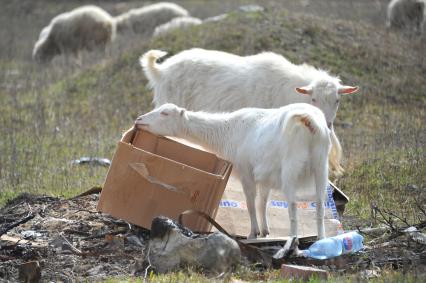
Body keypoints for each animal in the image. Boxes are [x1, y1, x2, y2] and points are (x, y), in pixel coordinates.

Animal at [135, 102, 332, 240]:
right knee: (320, 204)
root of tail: (310, 122)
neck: (228, 132)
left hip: (291, 167)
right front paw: (265, 231)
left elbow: (251, 203)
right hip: (321, 164)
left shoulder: (246, 171)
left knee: (292, 207)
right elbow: (262, 202)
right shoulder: (266, 176)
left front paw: (253, 233)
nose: (139, 120)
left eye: (165, 113)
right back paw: (321, 240)